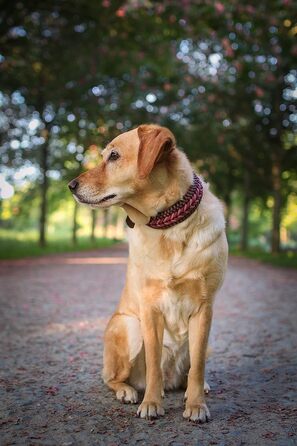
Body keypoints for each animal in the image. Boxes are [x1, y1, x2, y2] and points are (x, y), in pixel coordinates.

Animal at [69, 124, 227, 422]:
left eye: (114, 156)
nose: (70, 186)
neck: (170, 224)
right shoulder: (150, 309)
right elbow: (153, 364)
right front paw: (151, 403)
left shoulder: (205, 308)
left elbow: (198, 366)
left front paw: (197, 405)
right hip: (129, 326)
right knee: (112, 378)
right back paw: (129, 391)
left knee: (190, 370)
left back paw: (193, 388)